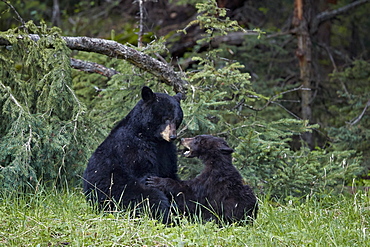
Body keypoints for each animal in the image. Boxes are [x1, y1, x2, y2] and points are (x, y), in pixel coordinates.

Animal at [83, 86, 183, 221]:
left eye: (177, 120)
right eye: (166, 118)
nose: (172, 136)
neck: (150, 137)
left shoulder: (166, 150)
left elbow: (170, 172)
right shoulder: (132, 147)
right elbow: (142, 172)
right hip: (116, 193)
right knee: (149, 198)